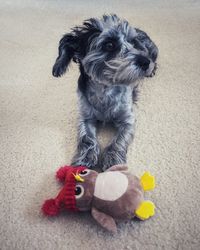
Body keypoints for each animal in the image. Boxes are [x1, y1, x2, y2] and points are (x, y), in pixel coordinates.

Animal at [52, 13, 159, 170]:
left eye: (133, 42)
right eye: (109, 45)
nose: (146, 62)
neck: (106, 90)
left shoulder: (128, 120)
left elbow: (118, 141)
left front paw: (113, 160)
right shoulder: (85, 117)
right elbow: (87, 138)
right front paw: (85, 158)